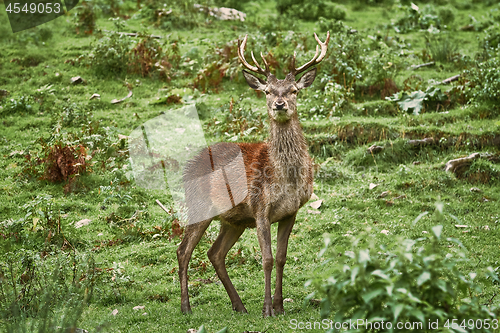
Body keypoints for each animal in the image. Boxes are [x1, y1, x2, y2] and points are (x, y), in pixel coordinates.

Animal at [178, 31, 330, 316]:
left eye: (294, 90)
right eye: (267, 91)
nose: (279, 104)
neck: (286, 178)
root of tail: (187, 167)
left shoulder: (291, 211)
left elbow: (281, 258)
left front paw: (280, 306)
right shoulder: (260, 208)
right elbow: (267, 259)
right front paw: (267, 309)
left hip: (233, 220)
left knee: (215, 253)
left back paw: (239, 306)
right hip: (198, 205)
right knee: (183, 250)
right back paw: (186, 307)